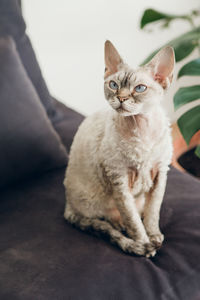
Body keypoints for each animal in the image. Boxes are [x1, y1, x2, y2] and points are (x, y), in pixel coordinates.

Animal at [63, 40, 174, 258]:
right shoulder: (119, 180)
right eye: (113, 85)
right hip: (94, 200)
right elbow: (133, 221)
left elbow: (153, 212)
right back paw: (121, 227)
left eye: (139, 88)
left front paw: (154, 236)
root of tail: (67, 204)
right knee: (108, 221)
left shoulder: (160, 173)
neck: (141, 130)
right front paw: (144, 244)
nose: (121, 98)